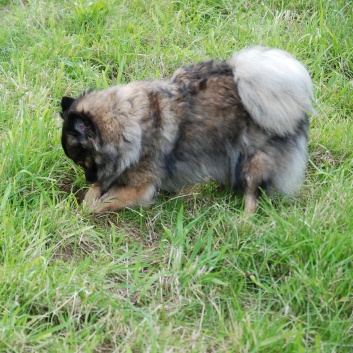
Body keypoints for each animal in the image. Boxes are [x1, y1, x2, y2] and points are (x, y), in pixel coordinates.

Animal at [60, 45, 314, 213]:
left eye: (84, 162)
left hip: (254, 161)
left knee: (252, 195)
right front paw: (88, 196)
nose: (89, 179)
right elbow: (93, 197)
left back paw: (243, 223)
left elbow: (98, 205)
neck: (127, 123)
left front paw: (84, 210)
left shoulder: (139, 186)